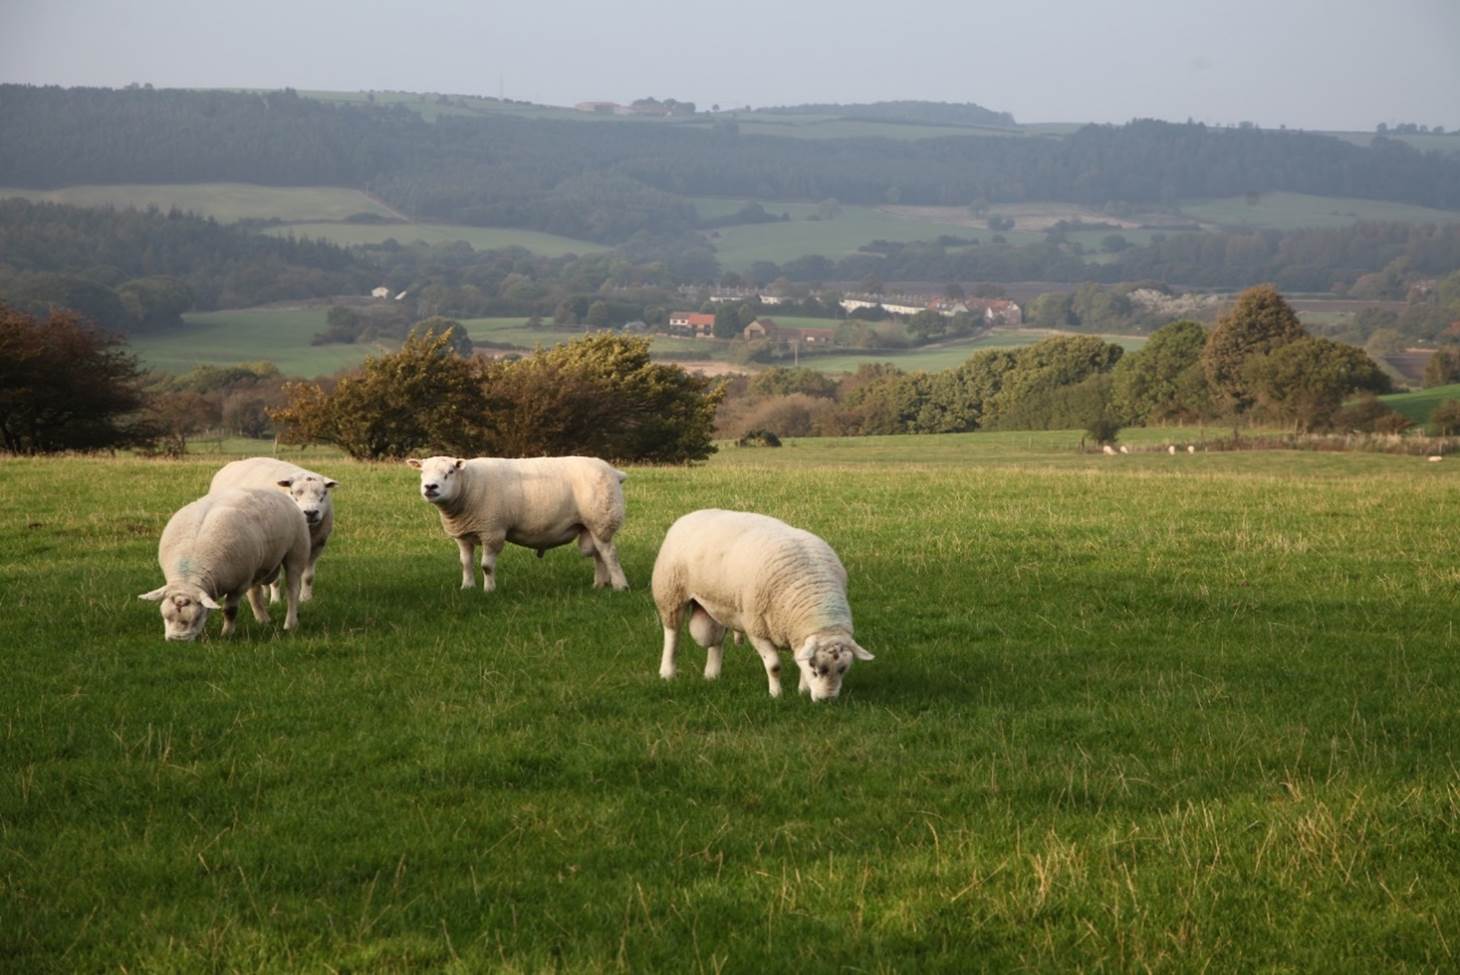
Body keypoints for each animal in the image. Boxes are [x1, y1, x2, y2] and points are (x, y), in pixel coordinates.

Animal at [139, 487, 310, 639]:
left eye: (196, 617)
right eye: (165, 616)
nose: (177, 640)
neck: (191, 572)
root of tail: (271, 490)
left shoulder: (239, 585)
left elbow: (230, 610)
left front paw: (226, 634)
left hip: (297, 551)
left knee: (292, 590)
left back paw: (290, 624)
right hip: (255, 567)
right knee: (255, 592)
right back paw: (262, 619)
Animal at [210, 458, 337, 601]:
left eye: (324, 494)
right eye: (293, 493)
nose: (310, 513)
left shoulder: (317, 545)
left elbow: (308, 577)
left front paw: (306, 599)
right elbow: (275, 580)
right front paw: (275, 601)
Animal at [405, 452, 627, 589]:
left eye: (449, 472)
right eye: (422, 472)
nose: (430, 487)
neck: (469, 485)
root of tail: (614, 472)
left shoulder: (492, 531)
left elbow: (486, 566)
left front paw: (489, 590)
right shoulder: (463, 535)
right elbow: (466, 563)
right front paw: (467, 587)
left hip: (602, 518)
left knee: (610, 554)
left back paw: (620, 585)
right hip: (591, 525)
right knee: (599, 554)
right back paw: (600, 584)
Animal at [654, 510, 876, 700]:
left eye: (843, 670)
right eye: (815, 670)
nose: (827, 700)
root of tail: (691, 514)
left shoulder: (797, 635)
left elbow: (798, 660)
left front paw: (802, 691)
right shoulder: (756, 629)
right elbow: (774, 666)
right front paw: (776, 694)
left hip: (718, 605)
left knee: (716, 639)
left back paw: (712, 674)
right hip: (670, 592)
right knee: (672, 634)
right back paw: (667, 672)